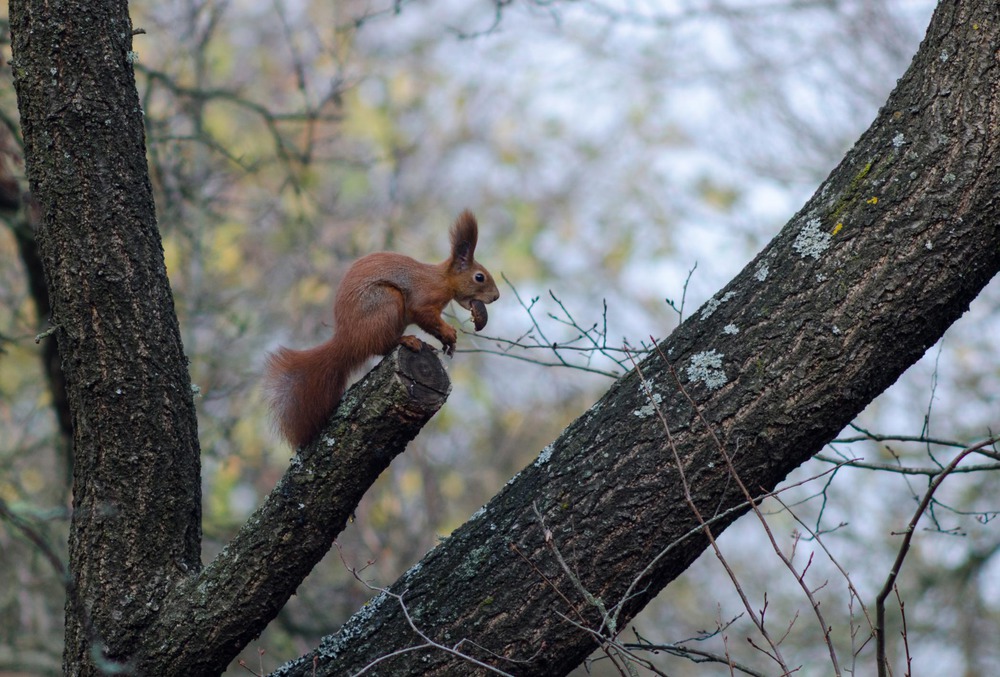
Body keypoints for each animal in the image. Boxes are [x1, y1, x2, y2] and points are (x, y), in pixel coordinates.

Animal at [266, 209, 500, 446]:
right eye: (479, 277)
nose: (496, 297)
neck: (442, 280)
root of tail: (348, 340)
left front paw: (447, 342)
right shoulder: (423, 299)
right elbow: (425, 316)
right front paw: (448, 333)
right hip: (387, 302)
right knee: (381, 345)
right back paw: (407, 340)